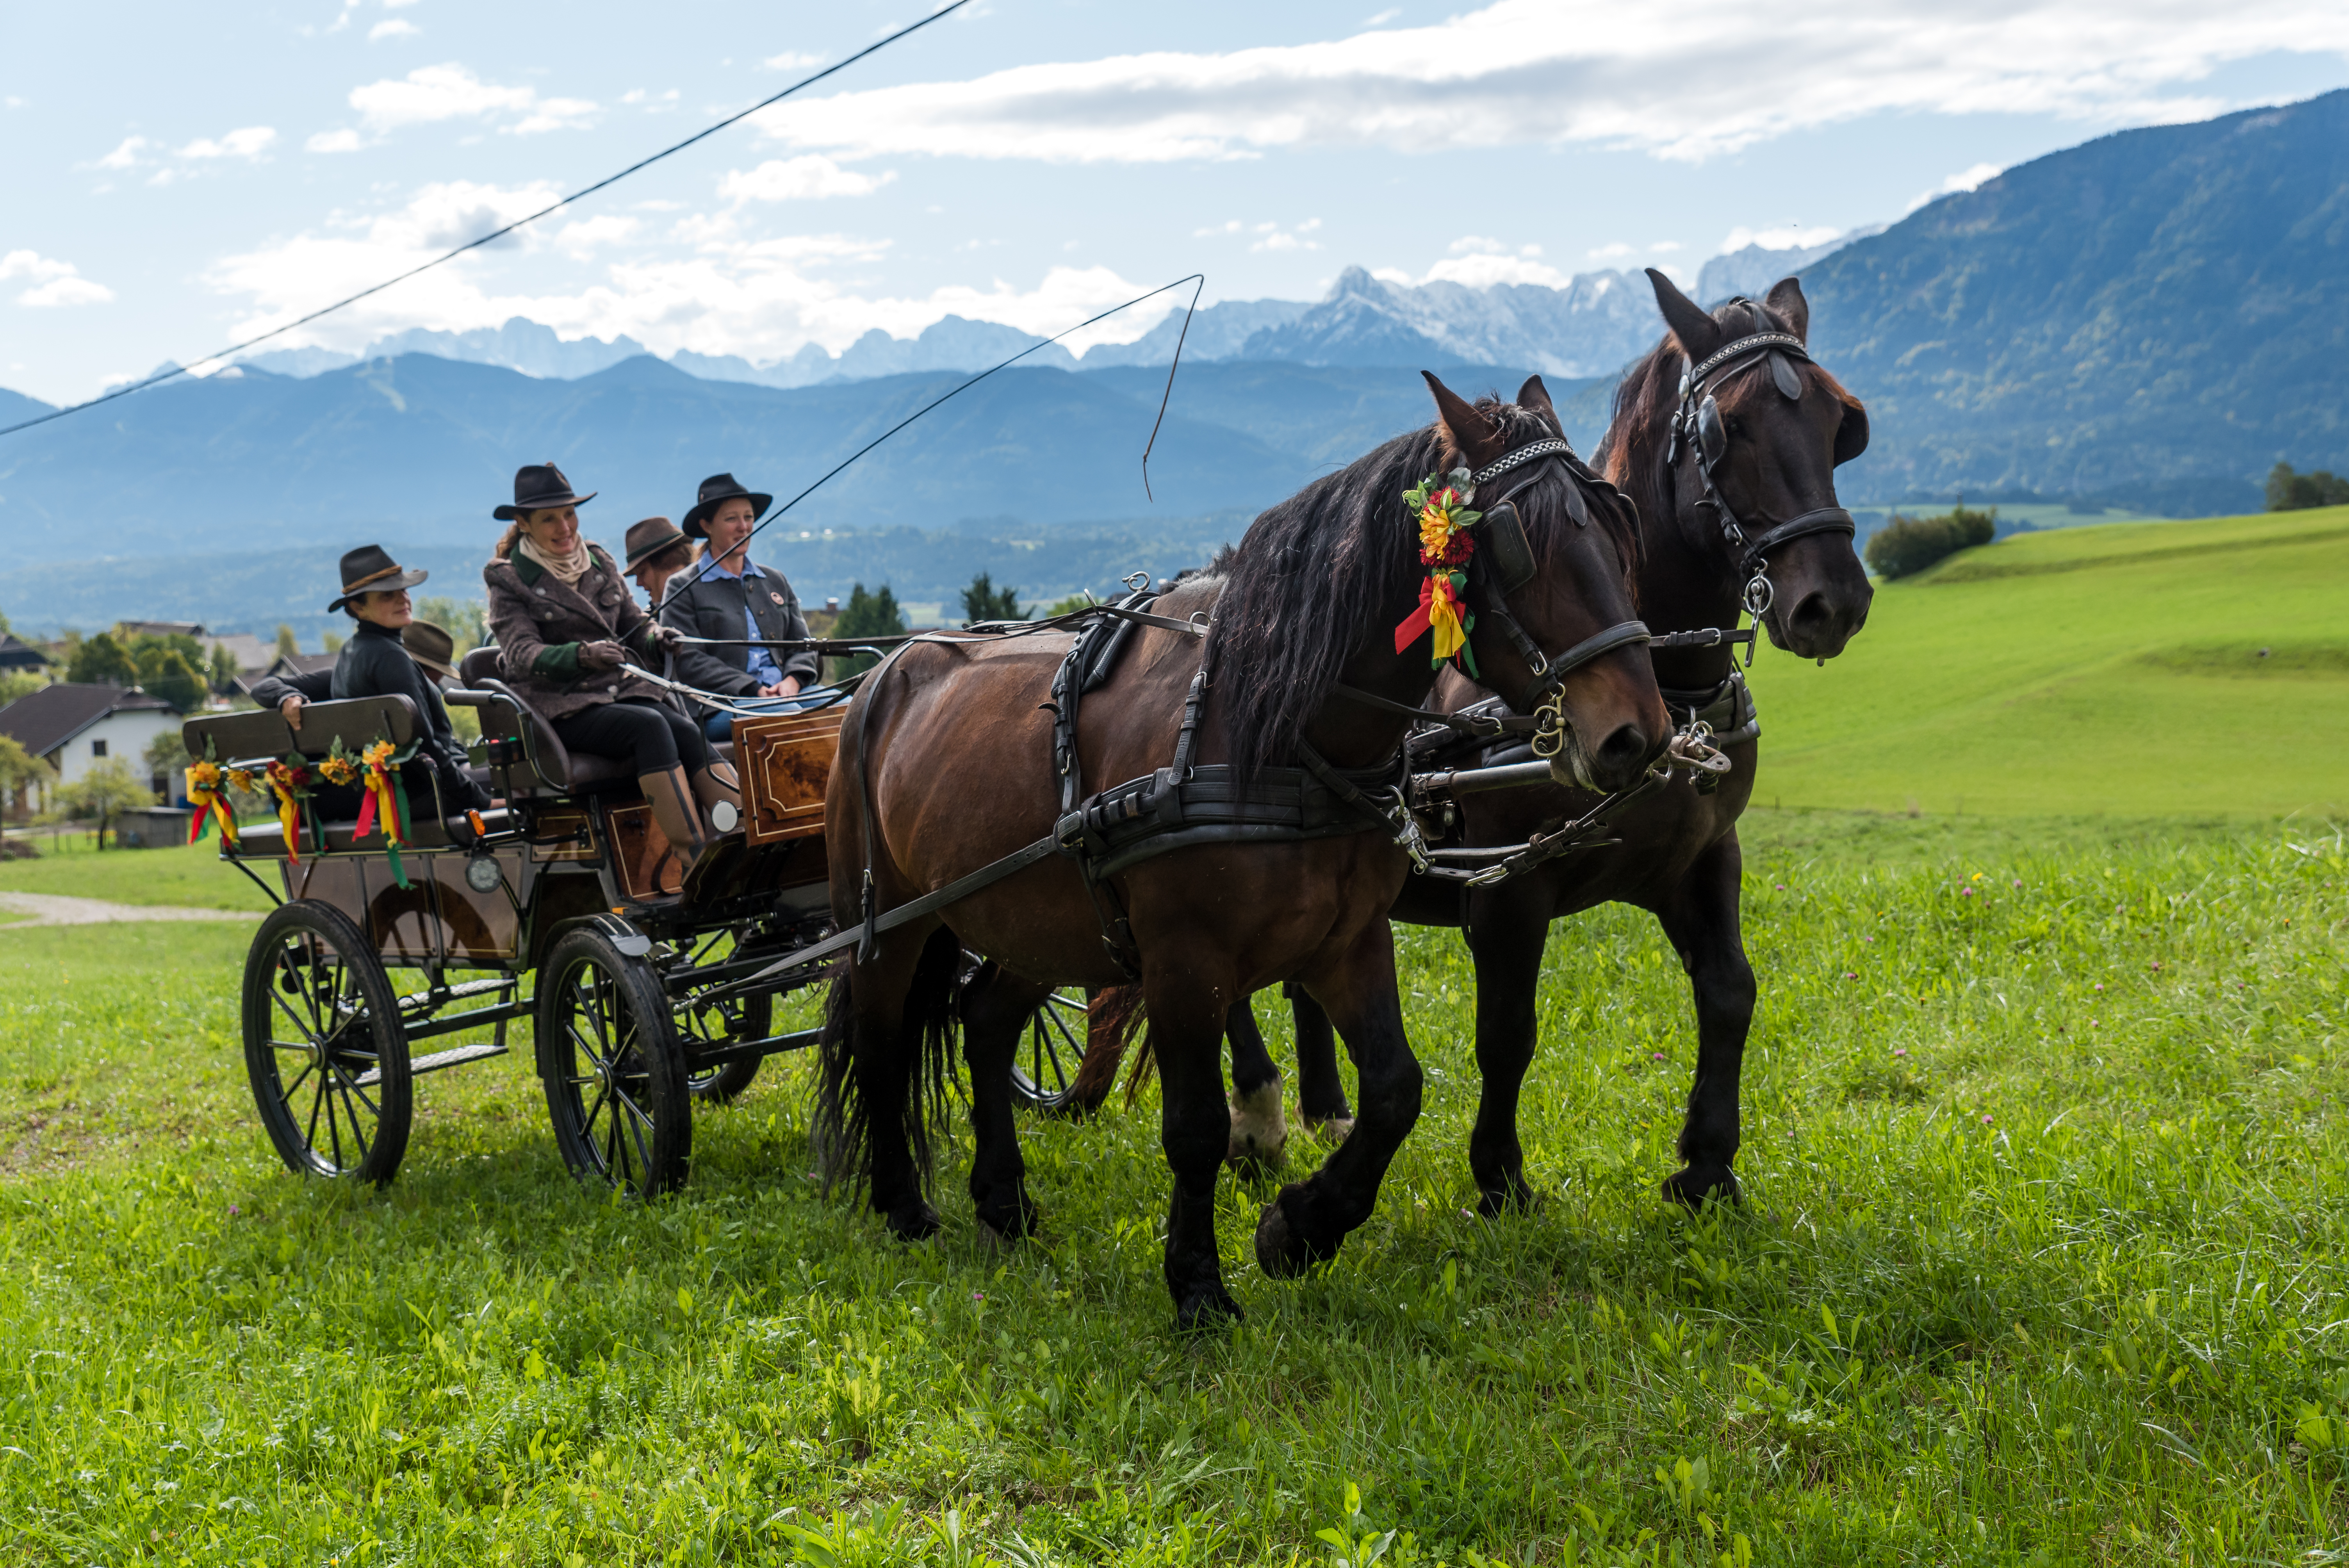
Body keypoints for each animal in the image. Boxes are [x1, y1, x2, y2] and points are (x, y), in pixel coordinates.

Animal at [827, 373, 1672, 1333]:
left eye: (1619, 526)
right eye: (1521, 544)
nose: (1636, 736)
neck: (1274, 731)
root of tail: (878, 675)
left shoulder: (1348, 941)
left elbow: (1395, 1088)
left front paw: (1301, 1228)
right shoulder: (1184, 963)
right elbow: (1194, 1127)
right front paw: (1198, 1284)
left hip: (1037, 921)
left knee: (984, 1019)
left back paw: (1004, 1203)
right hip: (890, 924)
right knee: (879, 1041)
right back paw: (903, 1205)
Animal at [1118, 272, 1870, 1211]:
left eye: (1840, 426)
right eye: (1722, 429)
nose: (1832, 601)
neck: (1664, 681)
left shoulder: (1703, 855)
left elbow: (1730, 991)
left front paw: (1705, 1164)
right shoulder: (1512, 889)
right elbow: (1507, 1031)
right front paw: (1500, 1175)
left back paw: (1324, 1105)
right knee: (1228, 988)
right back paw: (1258, 1114)